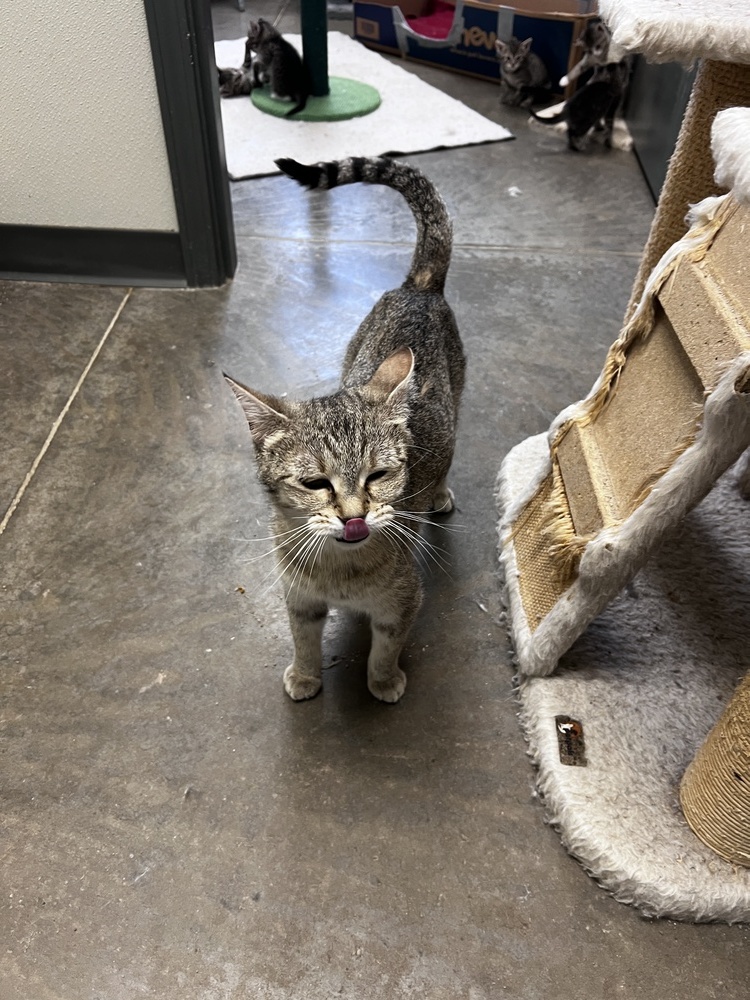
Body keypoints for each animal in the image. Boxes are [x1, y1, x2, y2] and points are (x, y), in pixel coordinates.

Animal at [226, 154, 468, 704]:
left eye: (378, 476)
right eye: (315, 483)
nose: (354, 516)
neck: (340, 571)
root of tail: (418, 287)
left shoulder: (402, 601)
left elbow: (386, 646)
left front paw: (383, 681)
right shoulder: (299, 599)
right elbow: (302, 639)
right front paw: (305, 675)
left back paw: (439, 491)